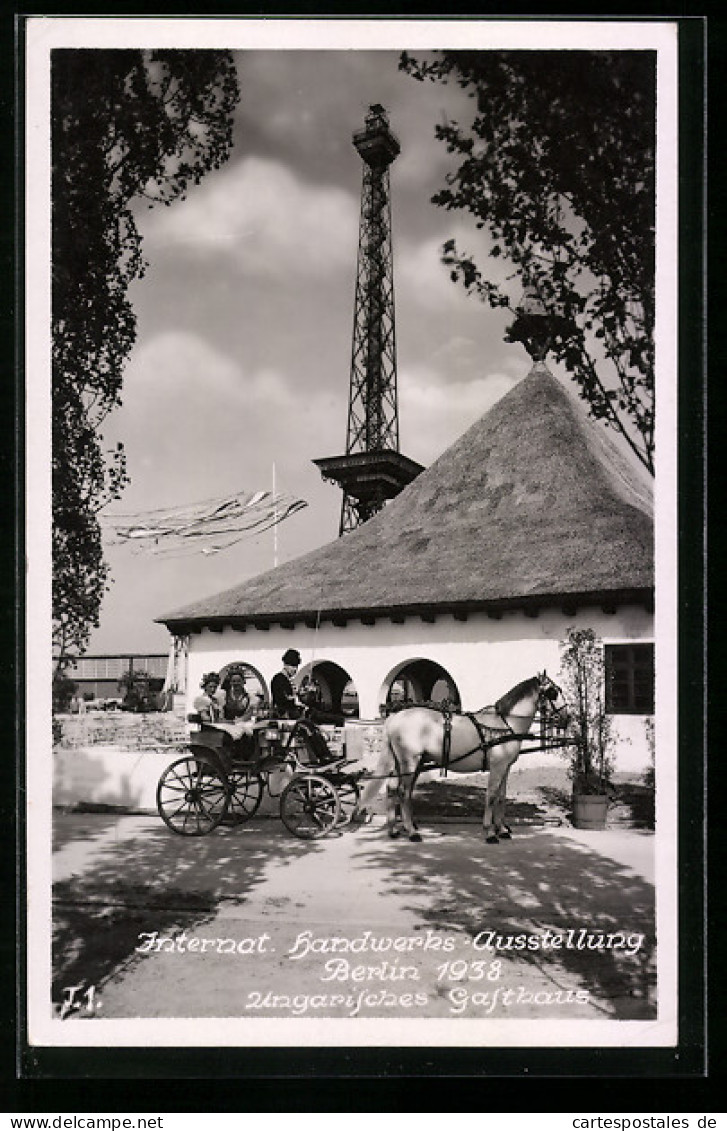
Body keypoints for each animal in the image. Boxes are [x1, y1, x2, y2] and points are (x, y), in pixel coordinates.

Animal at [352, 669, 569, 841]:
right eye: (553, 692)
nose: (567, 718)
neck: (505, 724)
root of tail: (394, 717)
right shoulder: (497, 766)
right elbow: (491, 796)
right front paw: (490, 832)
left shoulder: (506, 767)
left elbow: (501, 797)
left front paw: (502, 829)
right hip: (410, 762)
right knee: (403, 792)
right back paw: (412, 832)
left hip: (403, 763)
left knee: (392, 789)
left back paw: (395, 829)